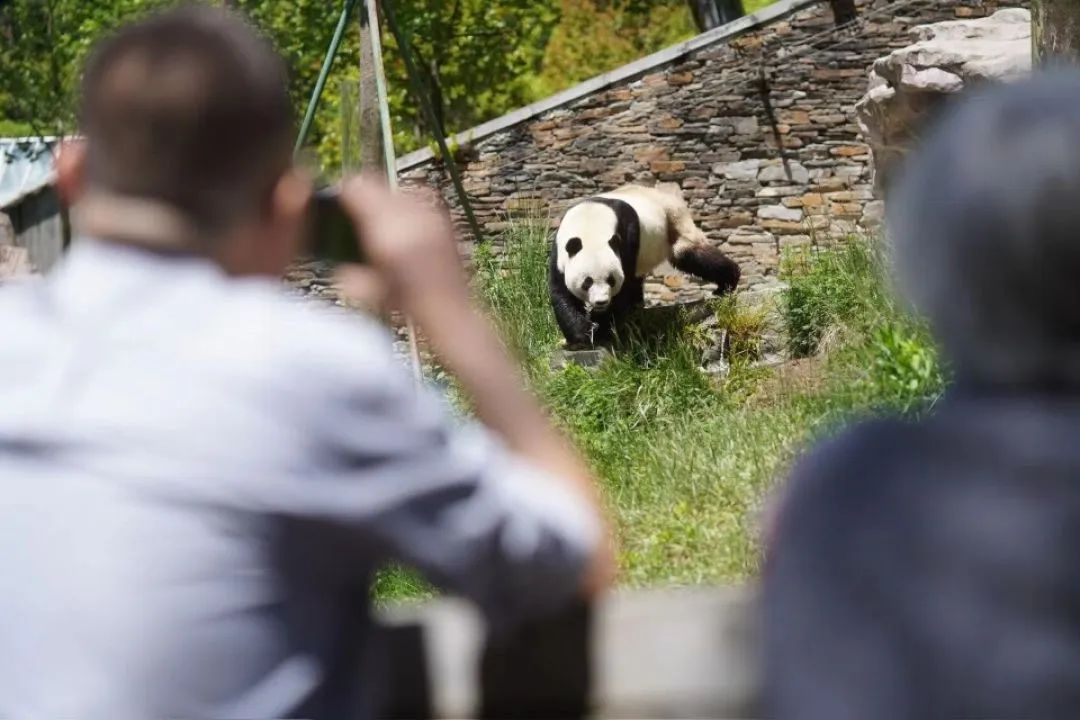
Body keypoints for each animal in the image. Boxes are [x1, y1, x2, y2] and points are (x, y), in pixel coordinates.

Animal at [552, 184, 738, 349]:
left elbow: (623, 288)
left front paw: (601, 330)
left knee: (688, 254)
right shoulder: (559, 251)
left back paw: (727, 283)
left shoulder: (626, 237)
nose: (601, 302)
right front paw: (580, 336)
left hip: (673, 220)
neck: (591, 222)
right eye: (587, 282)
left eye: (611, 280)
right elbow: (561, 293)